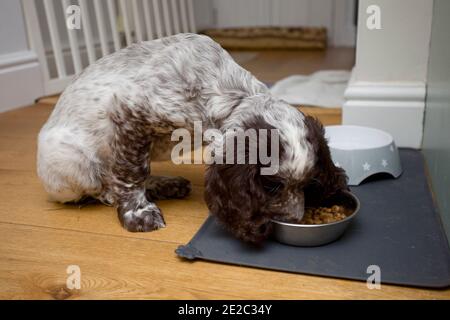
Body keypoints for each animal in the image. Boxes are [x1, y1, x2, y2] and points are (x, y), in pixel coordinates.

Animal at [38, 33, 348, 242]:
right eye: (271, 186)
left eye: (308, 184)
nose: (296, 219)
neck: (229, 93)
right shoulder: (129, 112)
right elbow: (131, 172)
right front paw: (137, 212)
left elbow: (138, 169)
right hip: (71, 162)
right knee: (98, 183)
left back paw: (164, 184)